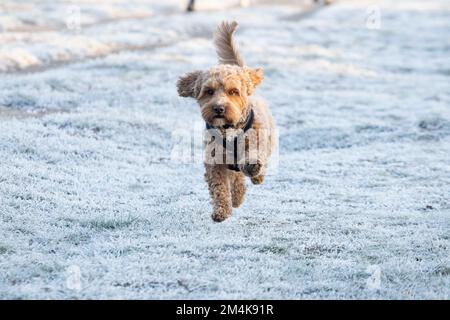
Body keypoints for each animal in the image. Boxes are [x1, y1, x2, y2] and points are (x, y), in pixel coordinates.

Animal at [177, 20, 276, 222]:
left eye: (233, 91)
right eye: (209, 91)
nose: (219, 108)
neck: (229, 129)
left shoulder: (256, 140)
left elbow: (254, 155)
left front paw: (253, 168)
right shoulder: (215, 161)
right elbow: (219, 187)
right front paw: (221, 210)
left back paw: (256, 176)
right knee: (236, 178)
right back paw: (237, 196)